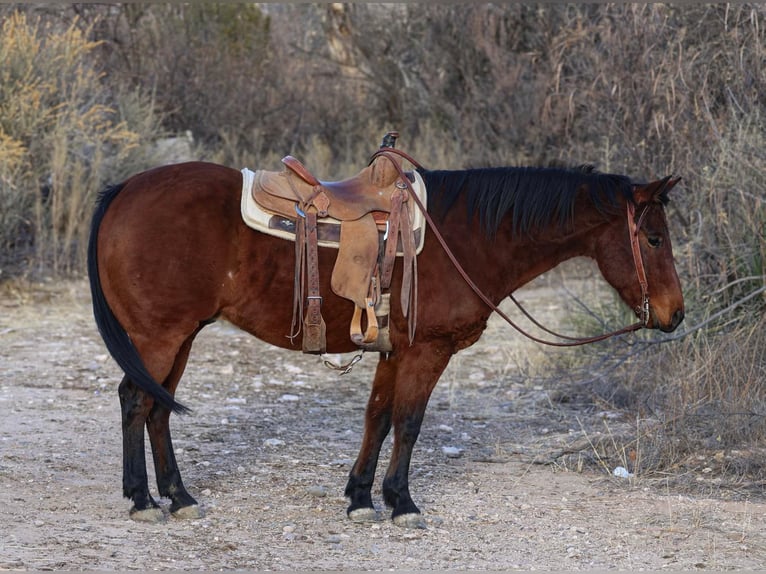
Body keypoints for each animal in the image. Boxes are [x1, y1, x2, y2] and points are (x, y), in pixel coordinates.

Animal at [87, 158, 684, 527]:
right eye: (654, 238)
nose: (675, 315)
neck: (469, 236)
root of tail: (123, 191)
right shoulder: (427, 350)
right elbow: (409, 422)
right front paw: (402, 503)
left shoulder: (394, 350)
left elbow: (377, 415)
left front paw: (359, 498)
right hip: (160, 336)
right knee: (137, 401)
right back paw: (142, 499)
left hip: (181, 336)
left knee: (157, 407)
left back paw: (179, 497)